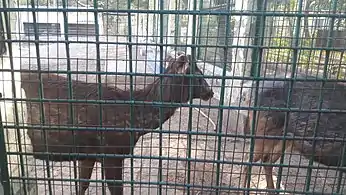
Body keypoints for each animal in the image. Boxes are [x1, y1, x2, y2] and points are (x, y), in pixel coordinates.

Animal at [21, 52, 214, 195]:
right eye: (198, 76)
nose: (210, 92)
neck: (137, 123)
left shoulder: (88, 154)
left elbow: (82, 186)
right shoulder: (111, 152)